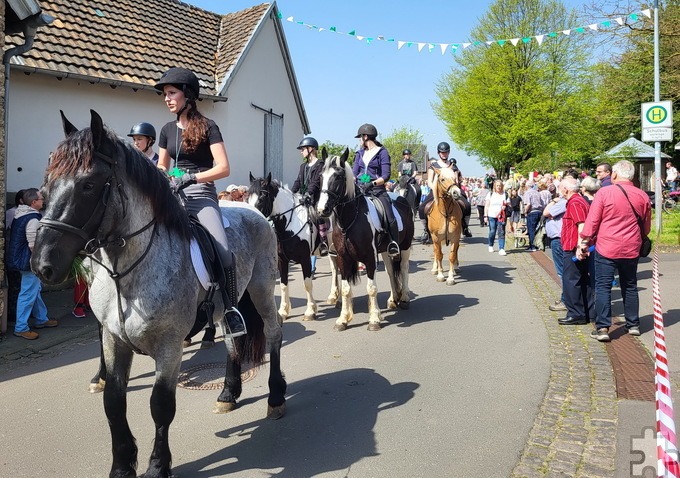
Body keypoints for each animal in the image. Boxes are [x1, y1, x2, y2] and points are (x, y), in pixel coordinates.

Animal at [30, 109, 286, 478]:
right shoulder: (113, 340)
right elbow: (113, 402)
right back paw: (228, 392)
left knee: (274, 333)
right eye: (47, 183)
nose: (42, 265)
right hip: (230, 302)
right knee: (232, 340)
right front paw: (122, 466)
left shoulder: (169, 346)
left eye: (88, 185)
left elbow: (161, 405)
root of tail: (256, 213)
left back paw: (276, 398)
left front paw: (156, 466)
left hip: (262, 289)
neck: (127, 273)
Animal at [247, 170, 340, 320]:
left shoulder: (305, 258)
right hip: (333, 252)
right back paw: (333, 297)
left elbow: (307, 283)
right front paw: (283, 311)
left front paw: (310, 311)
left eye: (261, 197)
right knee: (335, 270)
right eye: (247, 197)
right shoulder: (282, 260)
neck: (289, 224)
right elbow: (283, 284)